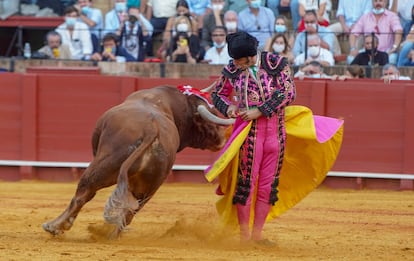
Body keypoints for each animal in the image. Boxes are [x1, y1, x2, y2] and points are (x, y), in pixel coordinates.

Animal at [43, 84, 234, 237]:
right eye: (209, 120)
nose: (223, 137)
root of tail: (151, 129)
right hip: (150, 185)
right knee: (130, 212)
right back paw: (110, 234)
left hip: (103, 165)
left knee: (84, 193)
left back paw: (55, 226)